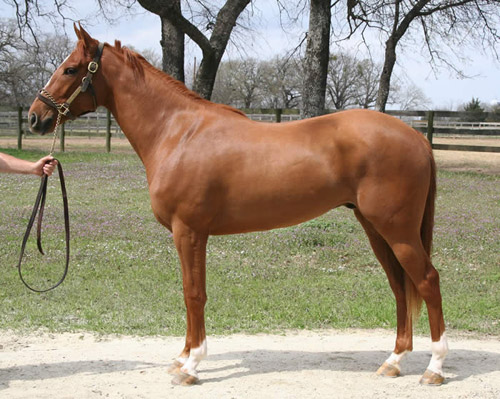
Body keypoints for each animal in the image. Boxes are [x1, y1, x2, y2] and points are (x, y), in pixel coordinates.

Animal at [28, 25, 450, 388]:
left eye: (70, 68)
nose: (35, 116)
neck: (178, 133)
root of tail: (415, 135)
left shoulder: (189, 231)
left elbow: (193, 294)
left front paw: (192, 366)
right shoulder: (191, 234)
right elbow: (189, 292)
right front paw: (182, 359)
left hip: (397, 230)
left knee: (427, 281)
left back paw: (434, 368)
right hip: (375, 227)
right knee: (399, 286)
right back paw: (393, 362)